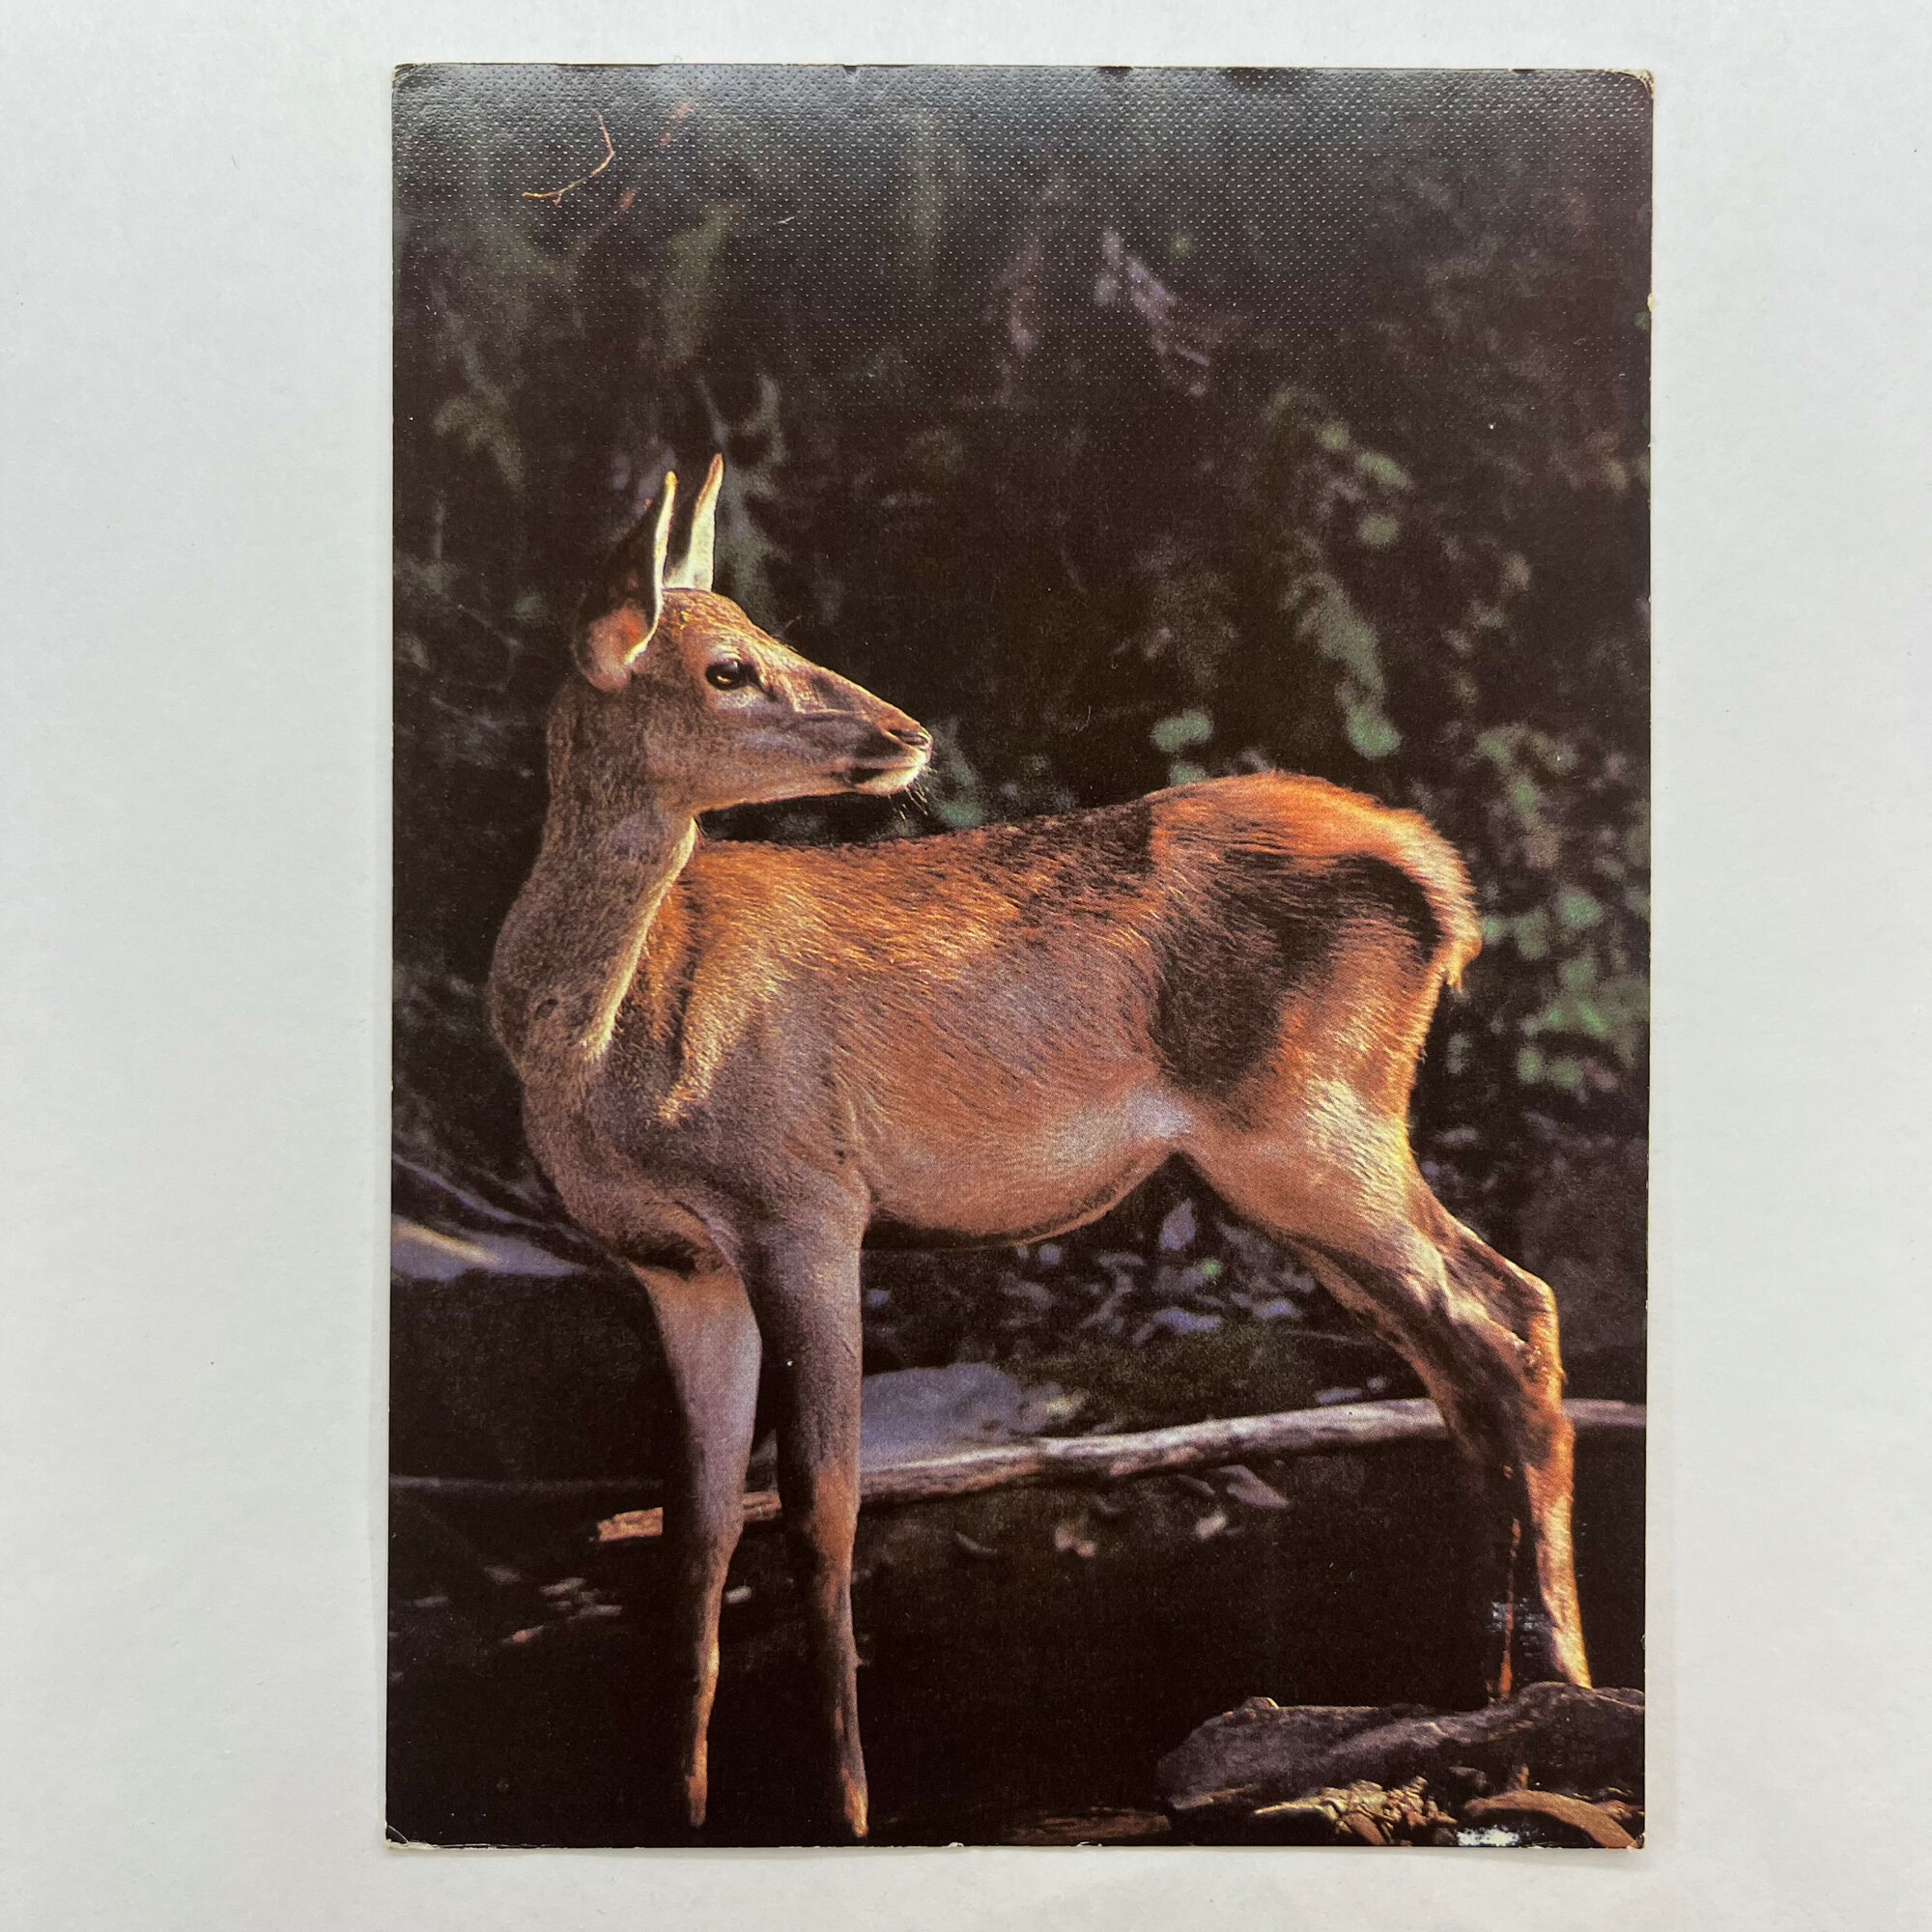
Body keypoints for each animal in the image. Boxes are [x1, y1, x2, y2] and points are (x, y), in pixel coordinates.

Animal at [487, 455, 1590, 1841]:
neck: (600, 1053)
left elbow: (820, 1508)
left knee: (1510, 1310)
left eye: (762, 637)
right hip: (1300, 1155)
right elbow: (696, 1528)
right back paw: (1484, 1688)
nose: (904, 732)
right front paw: (678, 1805)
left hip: (1308, 1123)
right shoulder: (675, 1263)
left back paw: (1552, 1690)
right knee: (1463, 1351)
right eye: (728, 666)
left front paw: (846, 1808)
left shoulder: (809, 1200)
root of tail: (1447, 888)